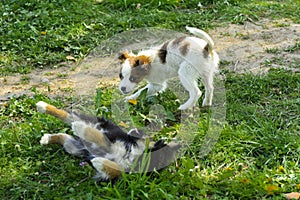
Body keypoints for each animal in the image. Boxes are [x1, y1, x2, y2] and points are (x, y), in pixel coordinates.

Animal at [36, 101, 179, 181]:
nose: (134, 131)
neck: (135, 153)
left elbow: (116, 169)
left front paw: (98, 162)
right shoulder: (112, 139)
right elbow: (98, 137)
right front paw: (81, 129)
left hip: (74, 147)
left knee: (63, 136)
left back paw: (47, 138)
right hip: (93, 123)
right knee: (67, 115)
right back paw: (42, 106)